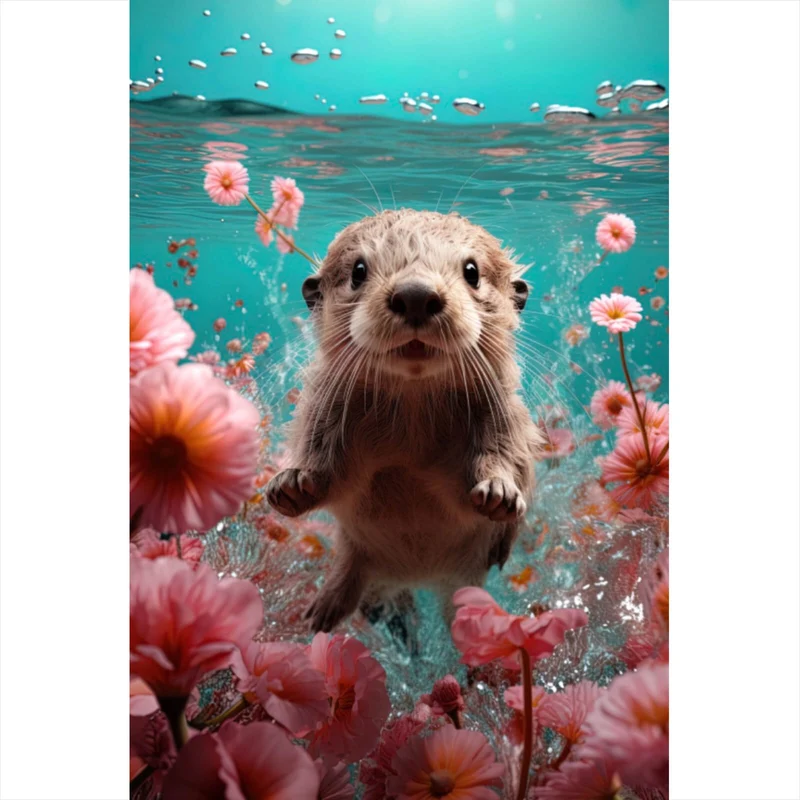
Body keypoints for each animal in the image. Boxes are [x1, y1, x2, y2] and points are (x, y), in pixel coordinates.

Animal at [266, 209, 543, 633]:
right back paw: (321, 614)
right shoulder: (324, 412)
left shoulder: (506, 416)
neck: (412, 426)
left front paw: (499, 491)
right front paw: (293, 484)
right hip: (354, 553)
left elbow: (504, 460)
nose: (415, 294)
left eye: (472, 271)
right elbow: (329, 472)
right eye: (358, 270)